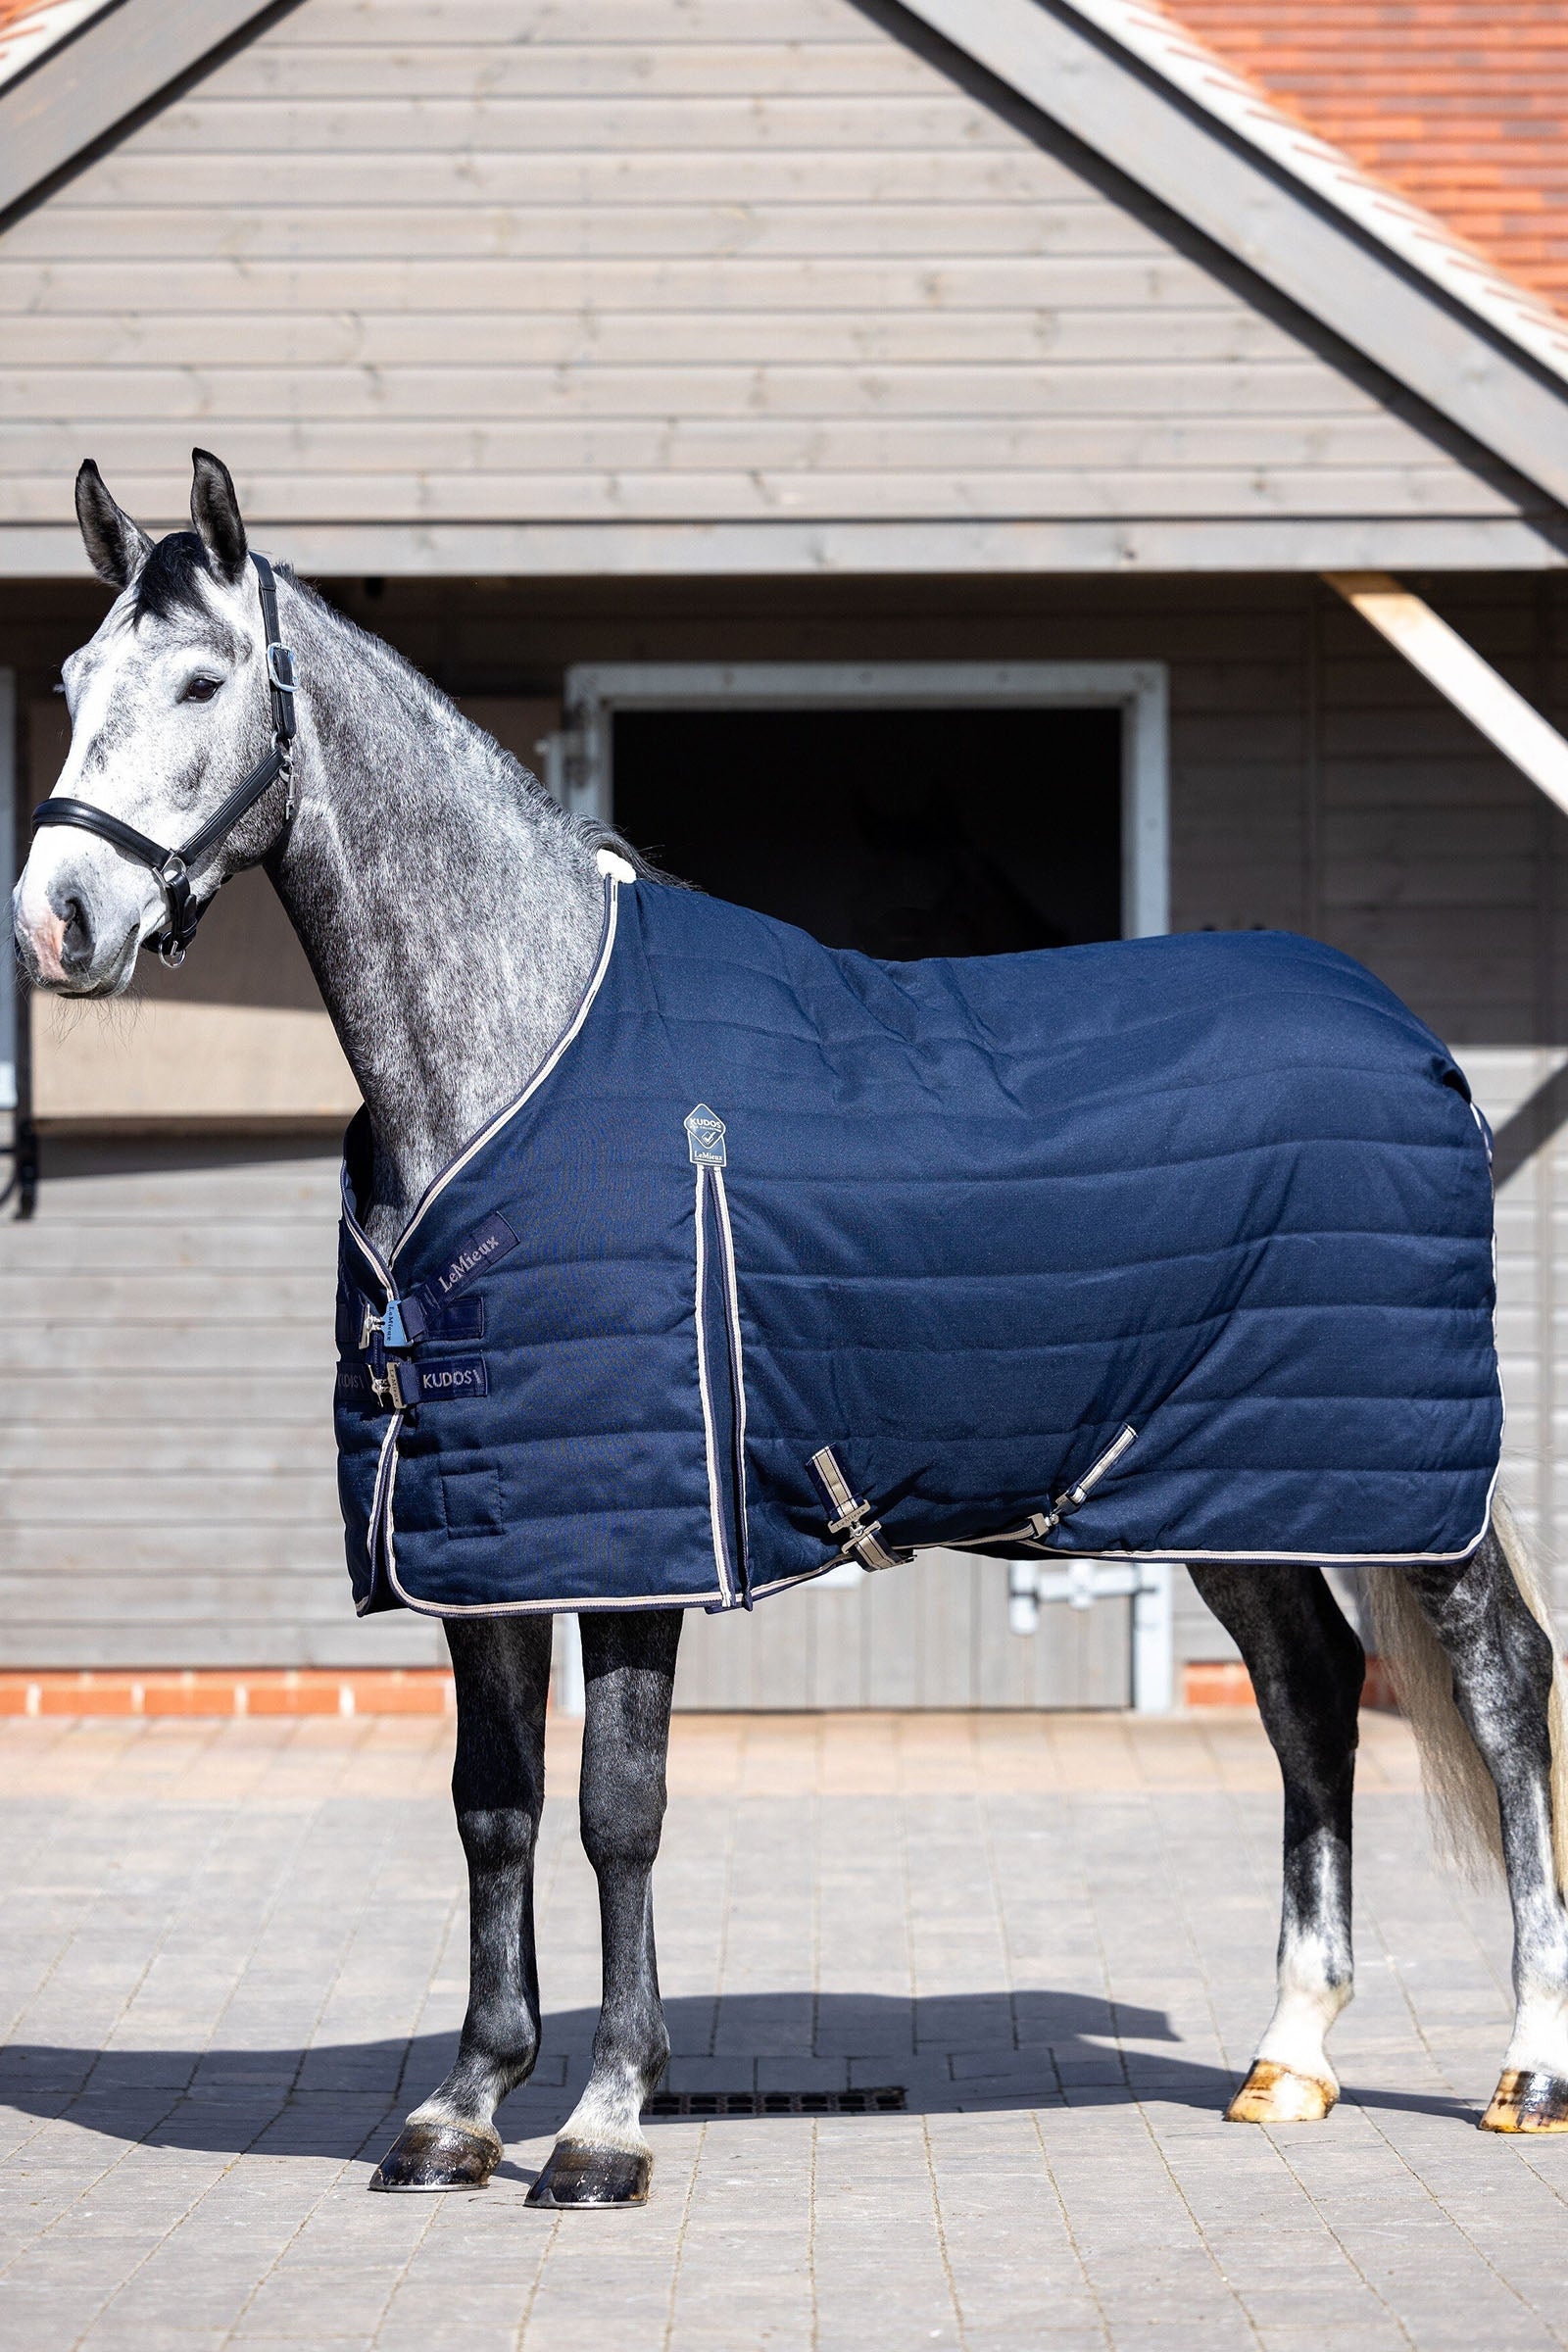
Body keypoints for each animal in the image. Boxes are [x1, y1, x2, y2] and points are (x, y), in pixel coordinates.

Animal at [13, 450, 1568, 2209]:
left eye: (204, 683)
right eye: (70, 682)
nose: (58, 921)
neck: (521, 1052)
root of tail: (1409, 1038)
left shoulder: (639, 1540)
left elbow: (618, 1811)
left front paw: (606, 2124)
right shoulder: (482, 1541)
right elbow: (493, 1810)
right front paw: (463, 2108)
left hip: (1402, 1488)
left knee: (1503, 1684)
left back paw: (1524, 2066)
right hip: (1225, 1483)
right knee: (1309, 1690)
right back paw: (1289, 2057)